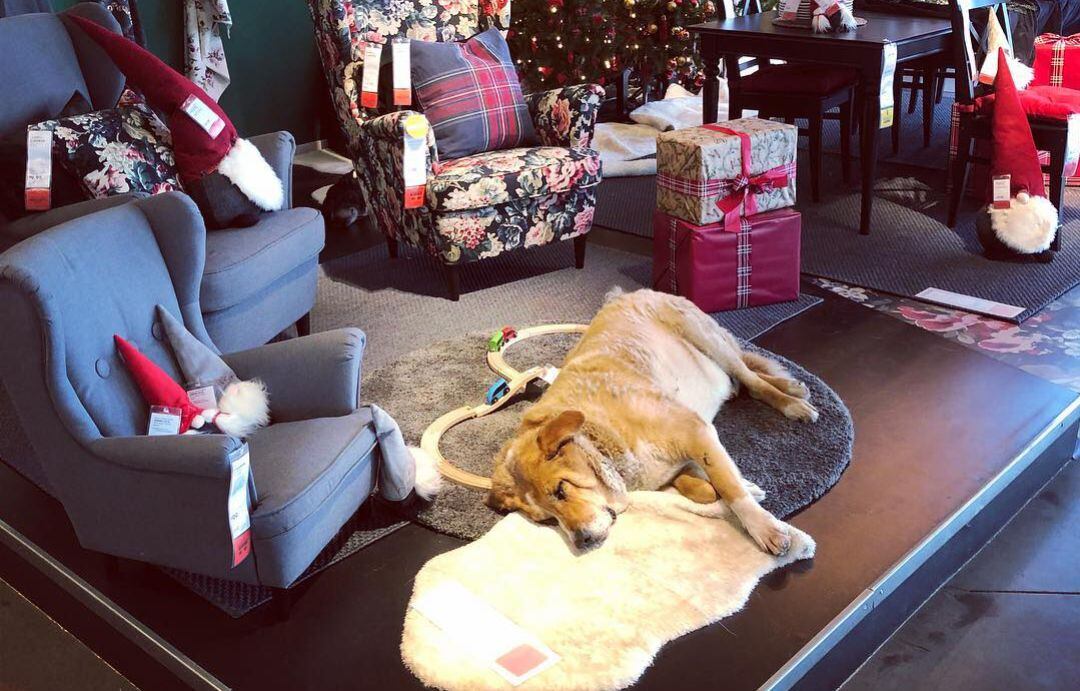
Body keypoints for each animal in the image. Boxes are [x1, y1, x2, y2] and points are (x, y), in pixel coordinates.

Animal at [488, 287, 816, 557]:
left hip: (704, 336)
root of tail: (629, 292)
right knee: (746, 380)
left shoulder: (694, 430)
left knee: (753, 378)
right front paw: (739, 486)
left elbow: (729, 486)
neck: (602, 442)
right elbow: (703, 486)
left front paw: (764, 527)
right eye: (546, 519)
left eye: (561, 490)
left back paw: (793, 399)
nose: (582, 541)